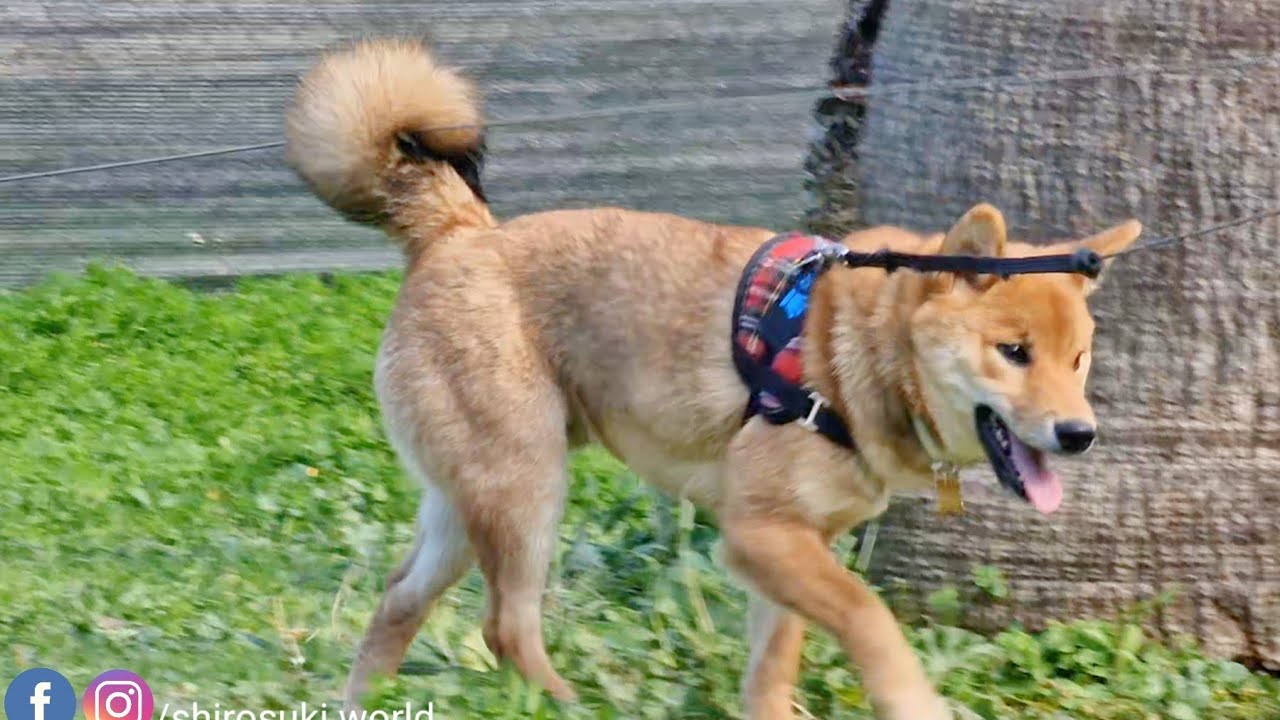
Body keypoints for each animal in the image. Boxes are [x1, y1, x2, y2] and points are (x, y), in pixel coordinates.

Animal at [285, 38, 1142, 720]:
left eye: (1078, 358)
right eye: (1014, 351)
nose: (1081, 435)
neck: (849, 351)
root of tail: (458, 234)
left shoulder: (788, 548)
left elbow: (771, 672)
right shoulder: (760, 534)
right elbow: (870, 617)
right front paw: (912, 702)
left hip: (468, 505)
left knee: (398, 601)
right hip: (525, 491)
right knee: (506, 628)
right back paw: (571, 706)